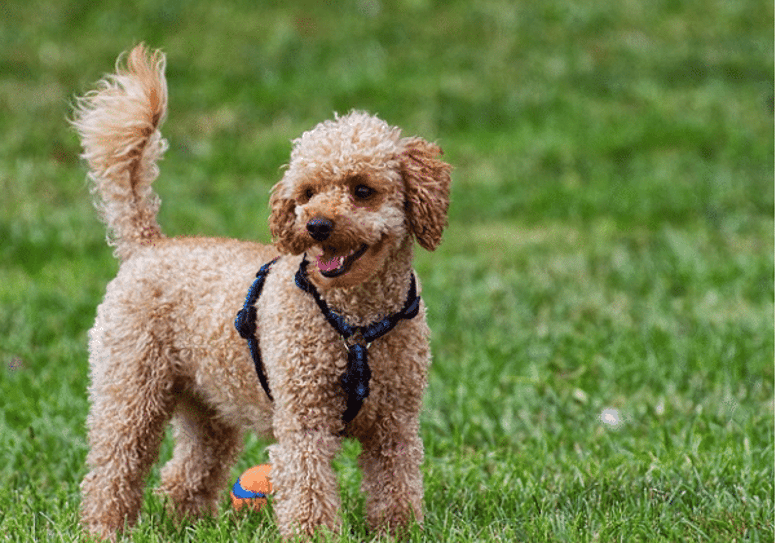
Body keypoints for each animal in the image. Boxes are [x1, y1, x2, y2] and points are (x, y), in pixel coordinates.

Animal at [74, 45, 448, 540]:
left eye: (362, 190)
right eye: (306, 193)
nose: (316, 224)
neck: (356, 321)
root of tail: (147, 244)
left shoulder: (396, 424)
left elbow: (396, 485)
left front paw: (399, 532)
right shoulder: (304, 417)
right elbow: (308, 489)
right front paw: (315, 535)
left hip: (209, 402)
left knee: (186, 471)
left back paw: (188, 523)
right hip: (131, 386)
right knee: (113, 466)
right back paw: (104, 527)